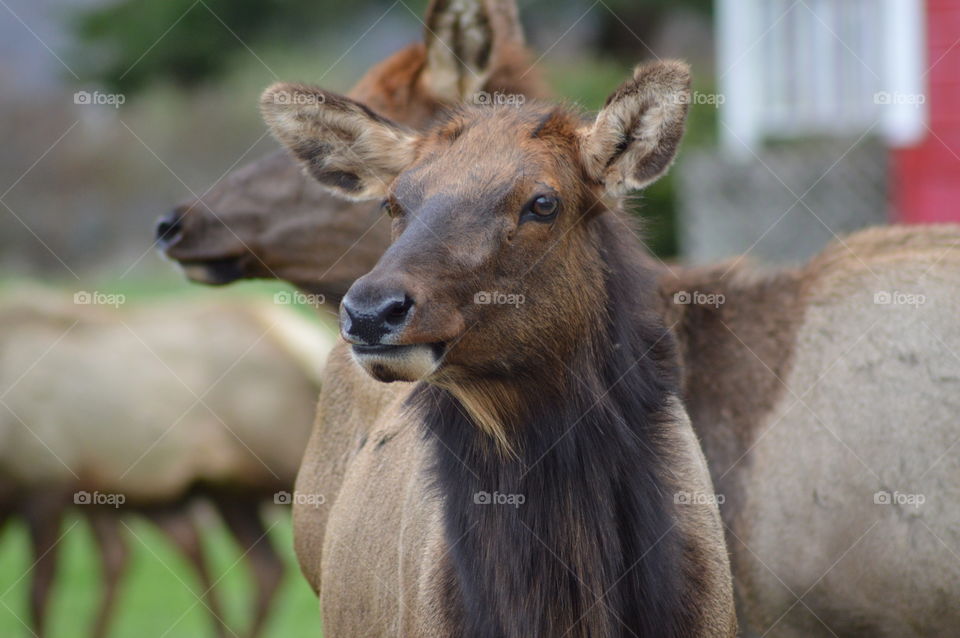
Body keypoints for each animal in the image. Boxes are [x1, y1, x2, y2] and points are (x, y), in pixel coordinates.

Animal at [0, 288, 334, 638]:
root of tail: (305, 342)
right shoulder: (82, 494)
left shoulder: (44, 484)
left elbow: (39, 594)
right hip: (230, 492)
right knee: (267, 568)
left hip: (281, 469)